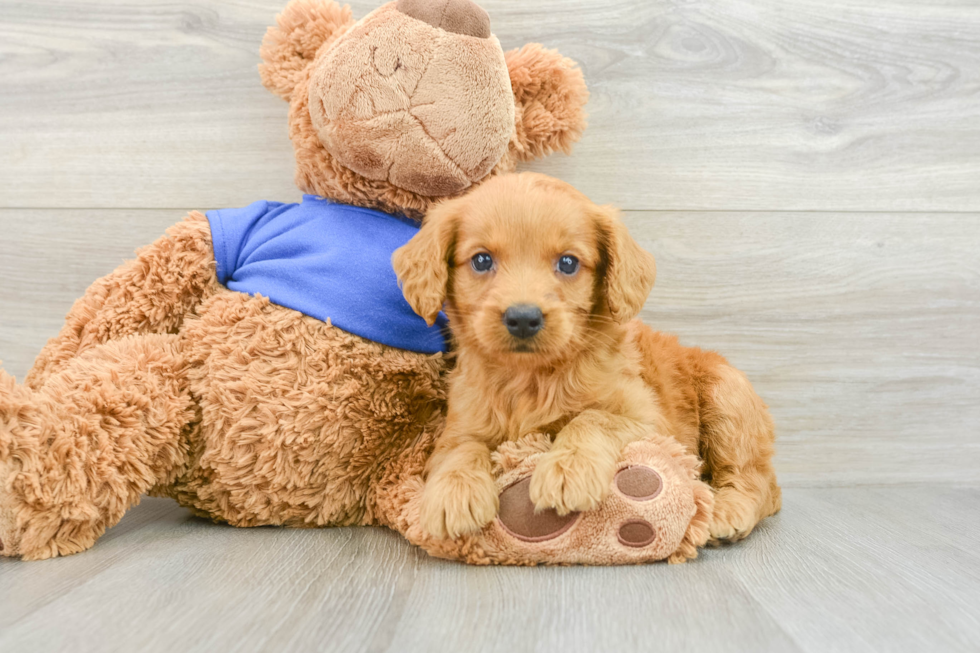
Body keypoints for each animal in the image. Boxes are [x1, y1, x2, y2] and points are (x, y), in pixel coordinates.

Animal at [390, 172, 780, 540]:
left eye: (568, 263)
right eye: (481, 260)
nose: (523, 318)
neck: (532, 377)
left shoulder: (649, 420)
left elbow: (591, 418)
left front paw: (567, 471)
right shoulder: (460, 425)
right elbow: (459, 450)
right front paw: (453, 494)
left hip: (728, 398)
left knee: (756, 480)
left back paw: (727, 511)